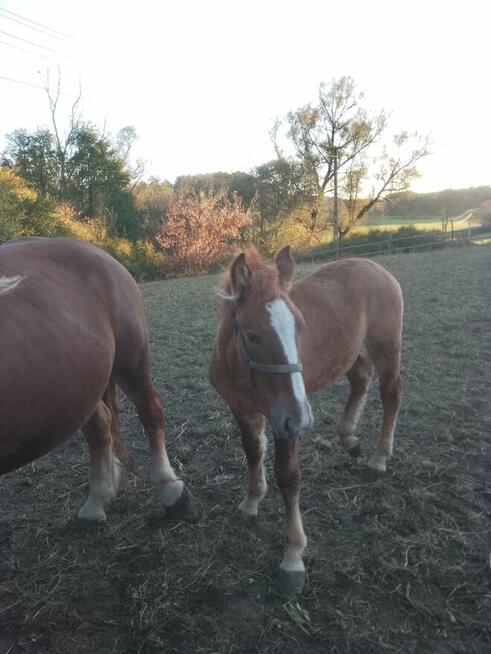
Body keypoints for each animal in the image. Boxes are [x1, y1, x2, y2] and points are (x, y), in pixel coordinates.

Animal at [0, 240, 189, 524]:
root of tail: (100, 254)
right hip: (83, 387)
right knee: (100, 426)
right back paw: (97, 500)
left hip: (130, 362)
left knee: (150, 410)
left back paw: (169, 489)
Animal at [209, 246, 406, 596]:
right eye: (253, 336)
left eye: (300, 327)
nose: (301, 418)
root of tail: (375, 266)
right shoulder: (243, 411)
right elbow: (252, 453)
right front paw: (251, 502)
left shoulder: (283, 422)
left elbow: (288, 478)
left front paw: (293, 558)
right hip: (349, 353)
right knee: (361, 376)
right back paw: (349, 438)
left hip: (386, 346)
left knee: (390, 394)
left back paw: (379, 457)